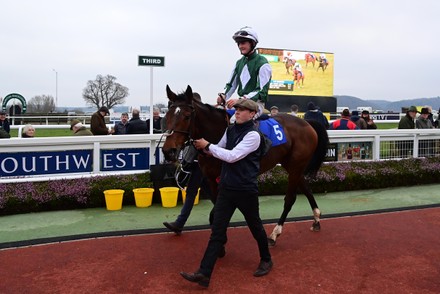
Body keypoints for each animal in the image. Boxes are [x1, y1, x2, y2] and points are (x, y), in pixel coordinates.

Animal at [161, 85, 326, 246]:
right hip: (291, 165)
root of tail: (307, 123)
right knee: (306, 188)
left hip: (296, 165)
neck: (217, 134)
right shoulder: (210, 178)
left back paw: (275, 234)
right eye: (166, 116)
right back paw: (316, 220)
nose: (168, 151)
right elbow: (216, 205)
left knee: (290, 199)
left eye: (187, 116)